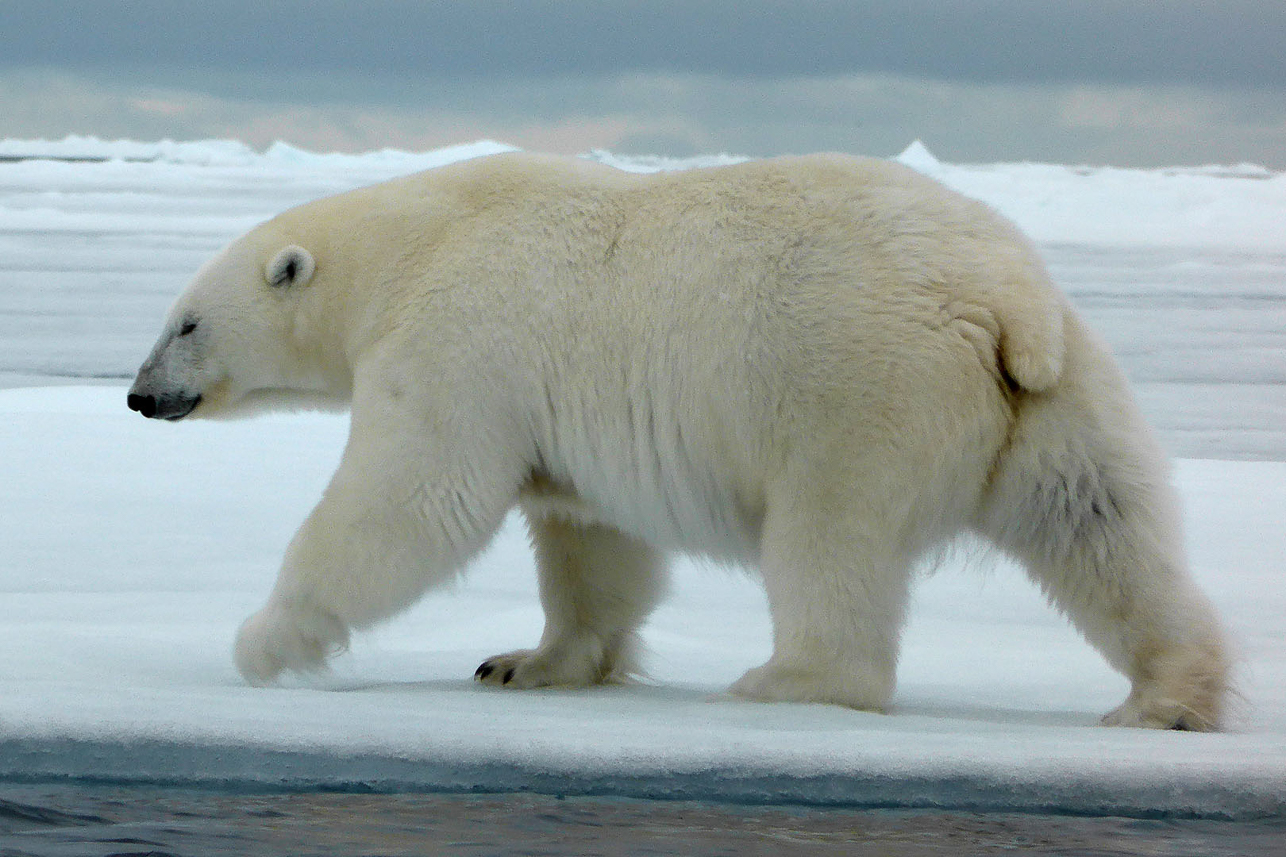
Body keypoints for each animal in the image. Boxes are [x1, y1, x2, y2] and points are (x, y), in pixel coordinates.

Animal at [127, 149, 1224, 725]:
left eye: (184, 322)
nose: (139, 396)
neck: (413, 241)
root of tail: (1002, 300)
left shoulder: (456, 337)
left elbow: (411, 501)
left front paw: (264, 643)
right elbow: (589, 543)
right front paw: (526, 661)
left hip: (858, 384)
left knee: (830, 537)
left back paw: (787, 679)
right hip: (1048, 393)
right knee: (1098, 522)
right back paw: (1167, 694)